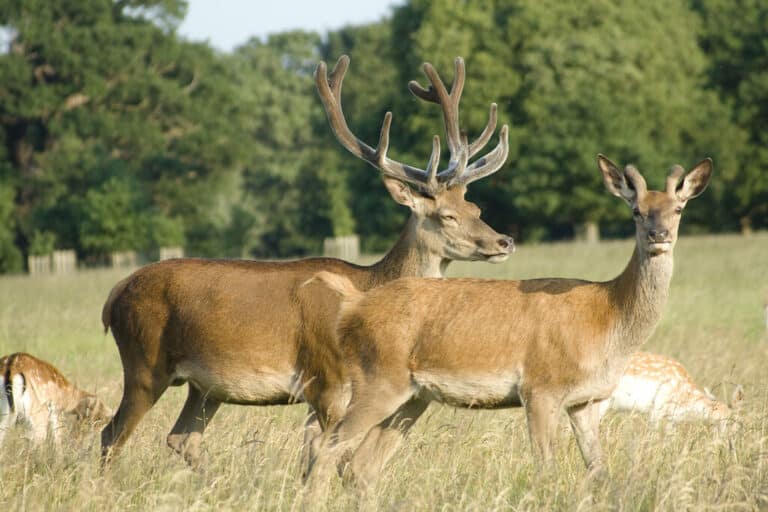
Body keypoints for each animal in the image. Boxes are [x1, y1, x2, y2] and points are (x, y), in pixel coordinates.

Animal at [99, 55, 514, 467]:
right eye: (447, 215)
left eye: (475, 208)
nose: (504, 241)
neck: (369, 285)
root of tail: (114, 296)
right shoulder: (327, 380)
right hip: (144, 362)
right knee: (112, 433)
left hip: (206, 386)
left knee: (182, 438)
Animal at [305, 155, 713, 490]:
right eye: (636, 211)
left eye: (678, 208)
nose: (658, 235)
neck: (606, 319)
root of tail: (354, 305)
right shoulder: (541, 387)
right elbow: (546, 472)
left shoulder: (586, 400)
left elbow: (599, 470)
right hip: (376, 379)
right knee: (325, 448)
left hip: (412, 396)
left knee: (361, 466)